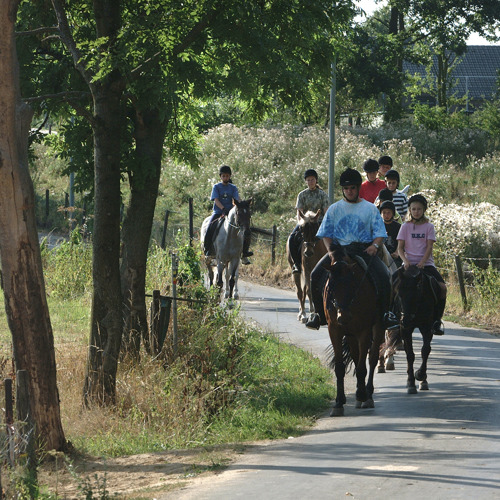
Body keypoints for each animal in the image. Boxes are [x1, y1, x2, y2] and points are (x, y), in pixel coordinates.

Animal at [324, 252, 386, 416]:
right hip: (351, 335)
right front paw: (339, 403)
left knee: (372, 358)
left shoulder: (364, 331)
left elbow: (362, 367)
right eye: (331, 287)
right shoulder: (335, 330)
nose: (343, 317)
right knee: (356, 356)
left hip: (377, 327)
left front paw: (362, 395)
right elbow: (340, 367)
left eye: (352, 286)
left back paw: (367, 395)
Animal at [392, 266, 440, 394]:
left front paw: (421, 376)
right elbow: (410, 354)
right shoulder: (406, 330)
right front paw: (411, 383)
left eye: (416, 295)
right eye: (399, 295)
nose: (406, 320)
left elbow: (425, 350)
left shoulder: (427, 327)